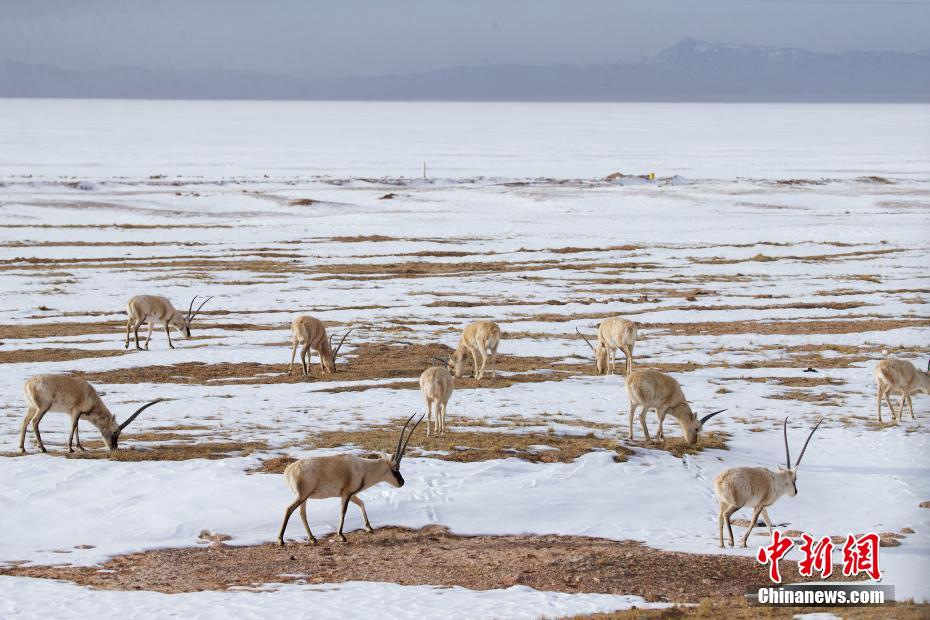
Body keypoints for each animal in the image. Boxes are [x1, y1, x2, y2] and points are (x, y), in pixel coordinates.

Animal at [19, 376, 163, 452]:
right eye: (115, 432)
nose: (114, 448)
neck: (90, 395)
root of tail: (27, 384)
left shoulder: (73, 413)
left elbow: (77, 427)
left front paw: (80, 447)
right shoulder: (76, 411)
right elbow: (73, 427)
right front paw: (70, 449)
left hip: (31, 408)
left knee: (25, 422)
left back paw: (22, 448)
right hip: (42, 408)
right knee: (34, 422)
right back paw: (42, 448)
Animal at [276, 414, 420, 544]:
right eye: (396, 467)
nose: (402, 482)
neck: (363, 468)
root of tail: (288, 471)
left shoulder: (351, 495)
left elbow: (362, 503)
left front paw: (369, 528)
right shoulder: (346, 494)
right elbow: (343, 511)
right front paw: (341, 536)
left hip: (304, 498)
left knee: (302, 514)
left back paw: (312, 538)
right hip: (302, 496)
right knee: (289, 509)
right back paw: (281, 540)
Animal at [716, 416, 824, 548]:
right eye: (795, 479)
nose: (795, 492)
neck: (776, 481)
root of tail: (721, 479)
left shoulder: (762, 506)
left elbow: (768, 521)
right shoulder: (759, 505)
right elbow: (754, 521)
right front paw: (744, 542)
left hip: (723, 502)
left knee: (720, 517)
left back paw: (721, 544)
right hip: (738, 503)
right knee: (726, 515)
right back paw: (731, 541)